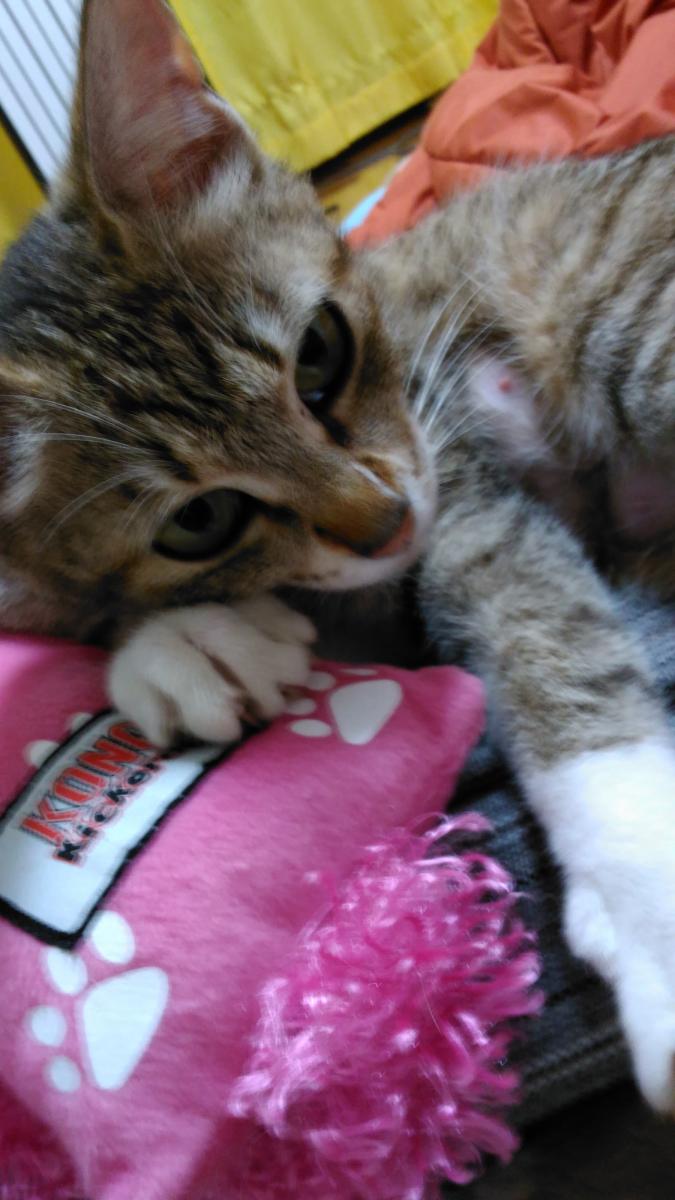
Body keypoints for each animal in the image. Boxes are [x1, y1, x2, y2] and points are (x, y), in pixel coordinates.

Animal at [1, 0, 675, 1117]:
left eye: (319, 353)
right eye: (200, 521)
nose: (386, 521)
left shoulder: (455, 467)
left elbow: (534, 617)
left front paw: (647, 906)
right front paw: (183, 641)